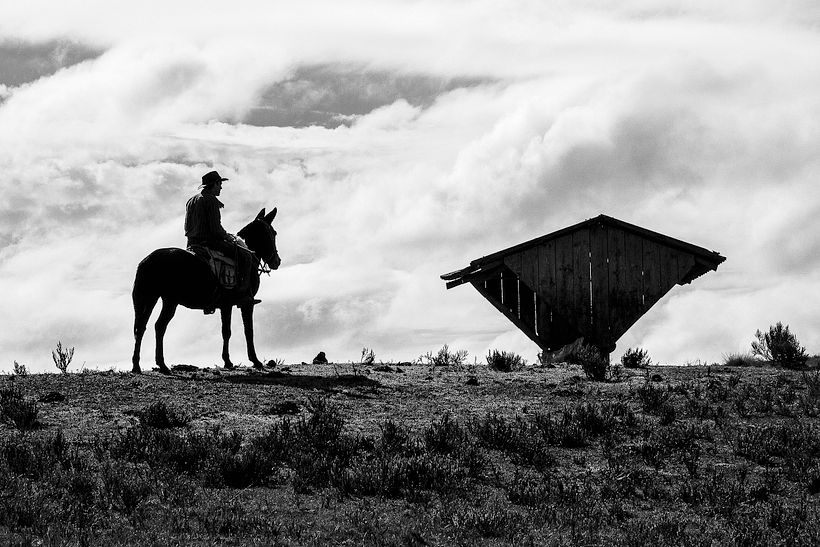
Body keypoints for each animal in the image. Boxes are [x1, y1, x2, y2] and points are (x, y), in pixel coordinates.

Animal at [131, 207, 281, 374]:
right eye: (273, 233)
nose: (277, 261)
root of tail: (148, 259)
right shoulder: (246, 304)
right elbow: (248, 330)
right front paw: (255, 360)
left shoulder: (226, 305)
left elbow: (226, 331)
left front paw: (228, 361)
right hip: (170, 301)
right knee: (159, 326)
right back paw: (162, 364)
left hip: (152, 298)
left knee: (142, 327)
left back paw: (137, 365)